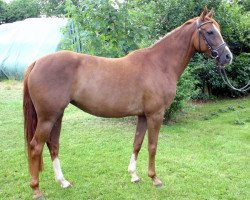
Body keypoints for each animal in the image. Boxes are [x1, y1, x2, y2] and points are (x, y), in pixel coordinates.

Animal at [23, 8, 232, 199]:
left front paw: (134, 175)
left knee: (53, 145)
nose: (228, 57)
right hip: (47, 117)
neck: (160, 64)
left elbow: (137, 143)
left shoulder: (142, 115)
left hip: (57, 115)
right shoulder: (155, 114)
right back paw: (36, 189)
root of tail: (37, 62)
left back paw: (63, 182)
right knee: (35, 147)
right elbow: (152, 145)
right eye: (210, 32)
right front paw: (154, 178)